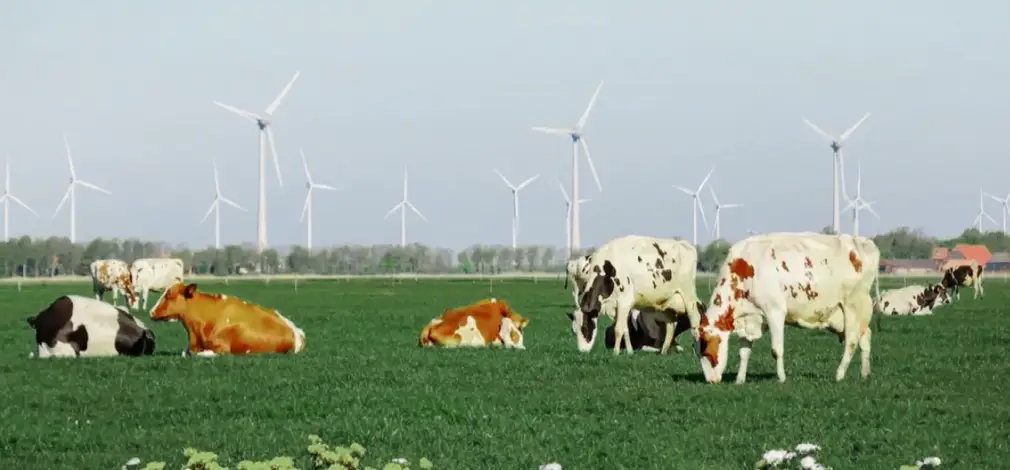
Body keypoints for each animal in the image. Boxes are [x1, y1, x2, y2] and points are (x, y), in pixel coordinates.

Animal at [149, 282, 305, 356]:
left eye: (169, 295)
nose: (151, 312)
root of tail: (296, 332)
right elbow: (185, 353)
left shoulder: (221, 349)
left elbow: (199, 355)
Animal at [573, 235, 702, 356]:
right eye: (574, 331)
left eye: (584, 328)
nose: (582, 351)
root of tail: (683, 244)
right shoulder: (618, 307)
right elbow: (625, 328)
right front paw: (629, 351)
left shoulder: (624, 301)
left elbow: (618, 329)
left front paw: (615, 352)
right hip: (667, 303)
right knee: (670, 326)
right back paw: (664, 351)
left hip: (688, 296)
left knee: (695, 320)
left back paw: (696, 351)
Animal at [697, 232, 881, 384]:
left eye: (705, 348)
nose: (711, 381)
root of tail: (862, 241)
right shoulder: (748, 318)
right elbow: (744, 352)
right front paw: (740, 379)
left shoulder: (774, 311)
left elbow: (776, 350)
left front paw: (781, 378)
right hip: (843, 317)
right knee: (865, 337)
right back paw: (865, 373)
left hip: (853, 306)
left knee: (851, 341)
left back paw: (839, 374)